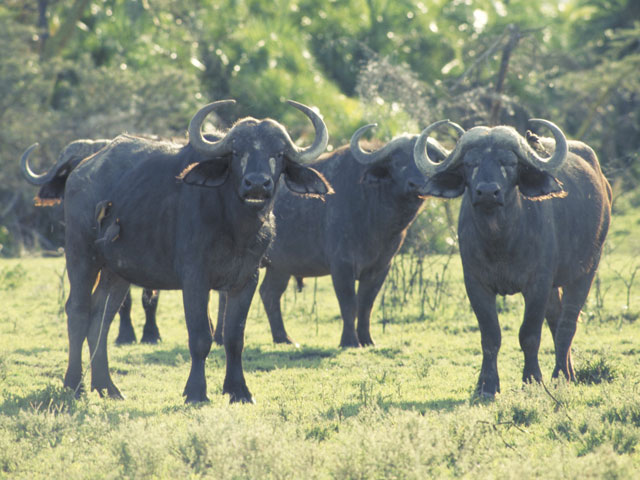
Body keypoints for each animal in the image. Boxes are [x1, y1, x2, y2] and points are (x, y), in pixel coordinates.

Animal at [21, 99, 330, 404]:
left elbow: (234, 337)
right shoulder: (194, 278)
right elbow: (201, 336)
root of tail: (80, 172)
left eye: (278, 154)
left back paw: (107, 387)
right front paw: (196, 392)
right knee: (78, 311)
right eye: (236, 152)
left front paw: (239, 391)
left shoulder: (246, 279)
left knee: (101, 317)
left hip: (116, 271)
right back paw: (74, 385)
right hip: (80, 254)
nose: (256, 184)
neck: (235, 224)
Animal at [216, 123, 456, 348]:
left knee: (269, 293)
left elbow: (366, 305)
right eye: (398, 162)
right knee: (226, 295)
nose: (417, 184)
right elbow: (349, 304)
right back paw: (221, 337)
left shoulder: (380, 267)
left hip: (281, 266)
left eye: (429, 159)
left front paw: (367, 339)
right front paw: (349, 341)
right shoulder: (342, 266)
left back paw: (283, 338)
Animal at [412, 118, 612, 396]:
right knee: (556, 319)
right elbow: (490, 335)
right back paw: (568, 372)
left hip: (587, 269)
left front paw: (532, 379)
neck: (500, 241)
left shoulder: (537, 284)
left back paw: (561, 374)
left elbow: (529, 334)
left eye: (508, 162)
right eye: (470, 163)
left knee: (567, 324)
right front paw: (486, 385)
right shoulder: (476, 284)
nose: (487, 192)